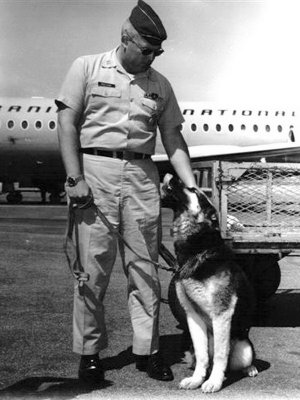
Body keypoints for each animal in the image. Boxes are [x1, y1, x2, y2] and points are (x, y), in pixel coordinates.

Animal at [162, 174, 258, 394]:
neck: (197, 250)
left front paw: (214, 382)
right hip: (190, 346)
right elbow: (202, 355)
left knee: (235, 359)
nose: (172, 175)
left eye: (193, 190)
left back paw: (249, 369)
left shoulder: (222, 314)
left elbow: (222, 355)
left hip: (244, 347)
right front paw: (197, 379)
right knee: (202, 356)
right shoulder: (193, 316)